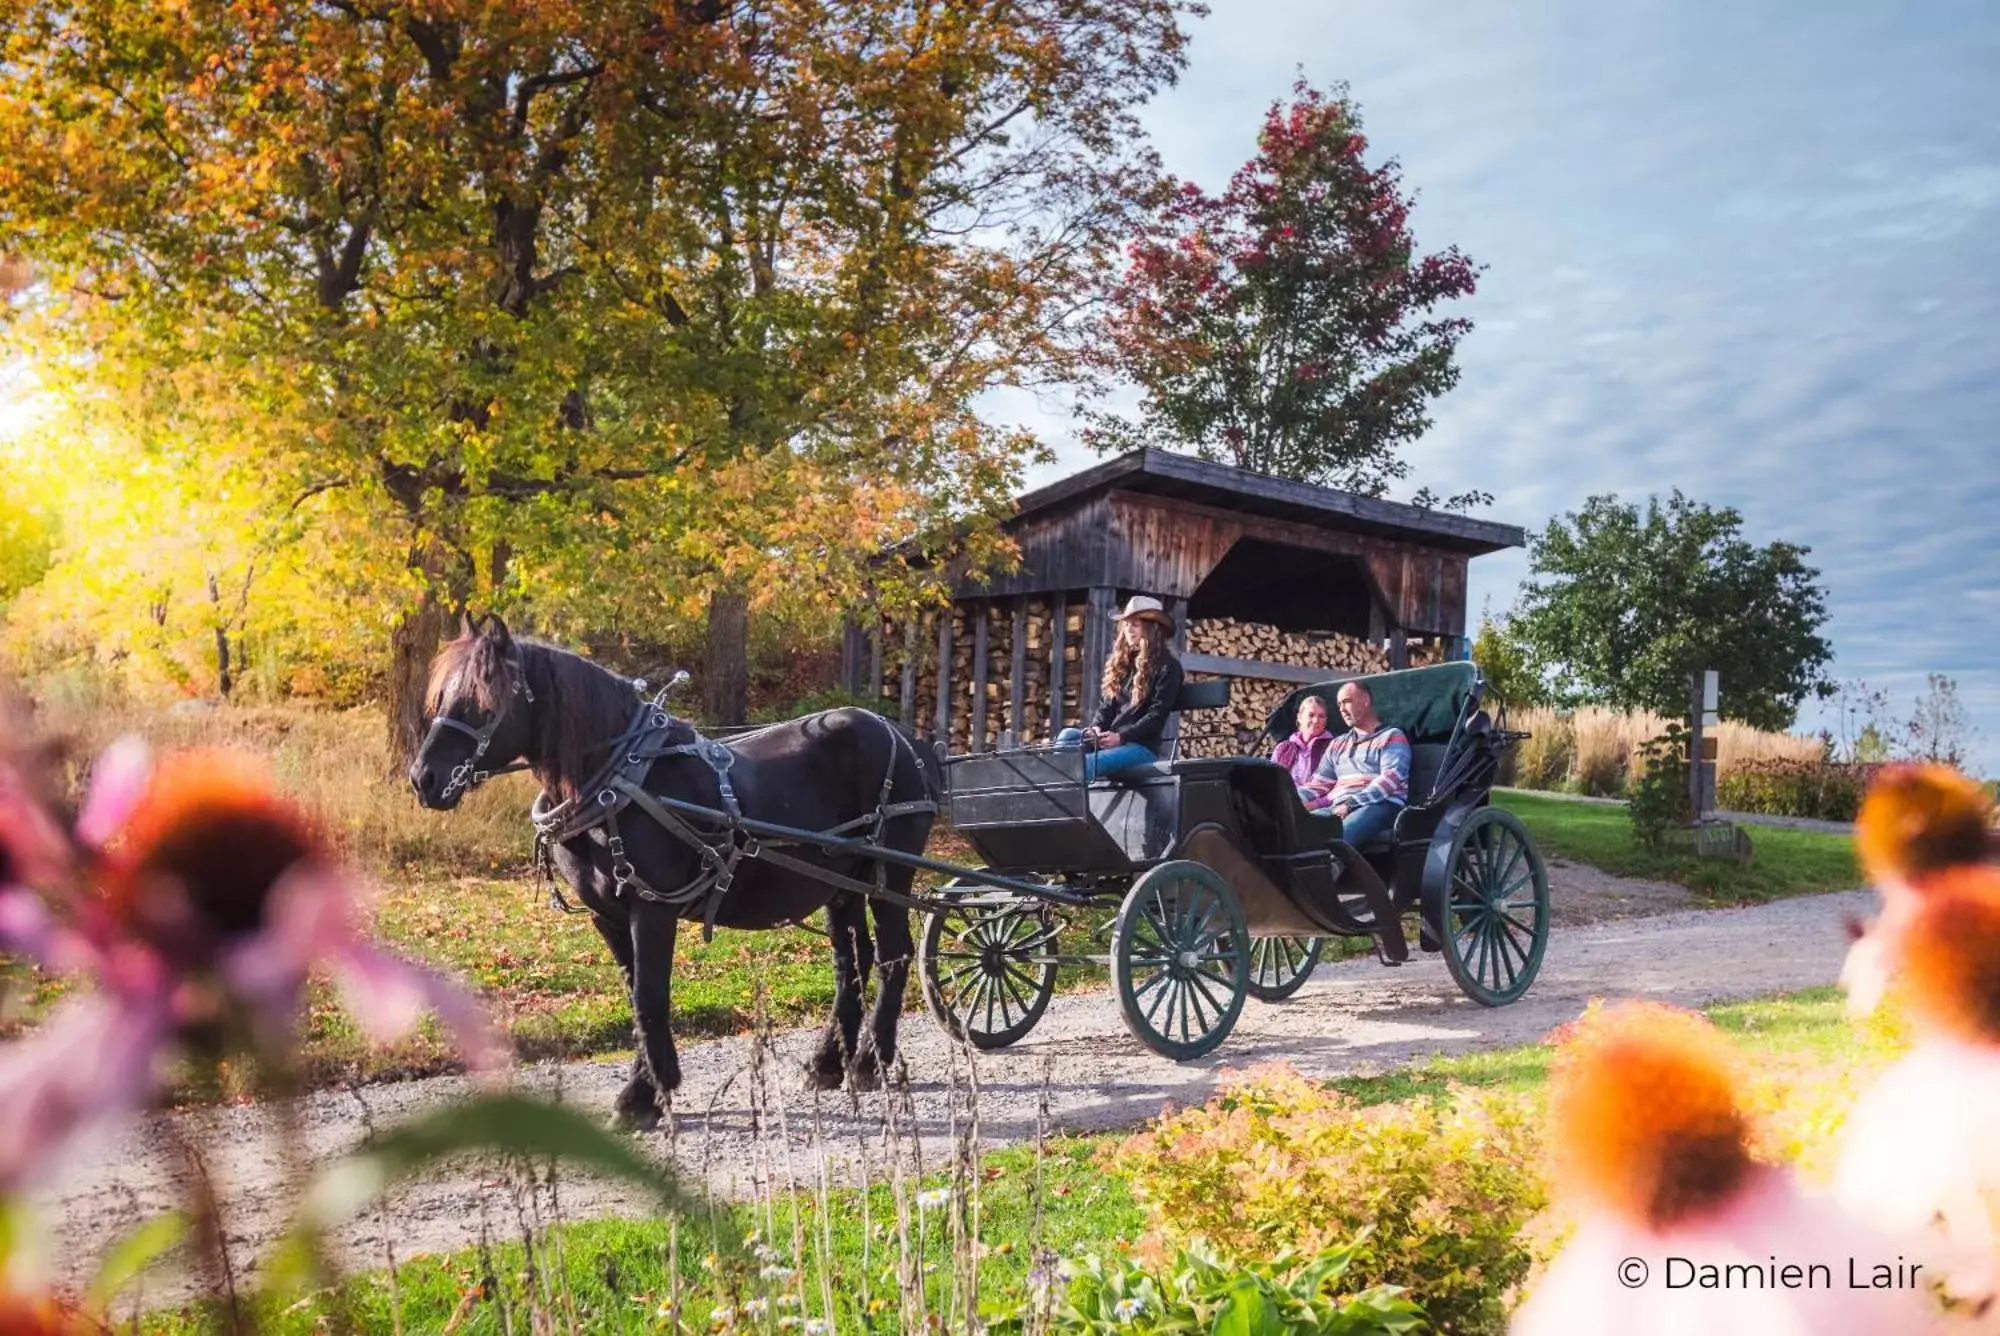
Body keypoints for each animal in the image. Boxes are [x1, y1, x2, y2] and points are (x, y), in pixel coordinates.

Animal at [410, 620, 940, 1128]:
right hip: (840, 884)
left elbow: (650, 995)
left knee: (894, 955)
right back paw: (828, 1063)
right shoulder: (606, 915)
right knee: (852, 962)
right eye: (442, 696)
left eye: (485, 701)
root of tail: (904, 737)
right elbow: (636, 995)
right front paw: (660, 1082)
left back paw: (871, 1061)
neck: (619, 782)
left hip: (890, 875)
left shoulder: (652, 908)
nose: (423, 778)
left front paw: (639, 1097)